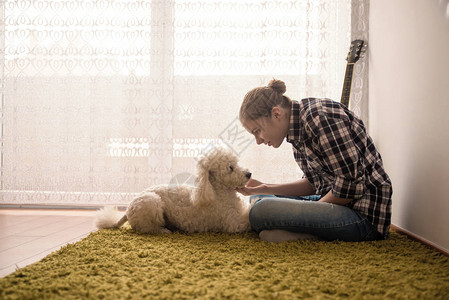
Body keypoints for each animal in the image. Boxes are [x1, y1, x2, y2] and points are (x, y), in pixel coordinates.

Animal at [96, 148, 252, 234]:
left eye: (237, 163)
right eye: (230, 168)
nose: (249, 174)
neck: (216, 190)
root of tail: (128, 209)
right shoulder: (233, 223)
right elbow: (247, 219)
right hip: (152, 202)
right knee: (146, 228)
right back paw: (164, 231)